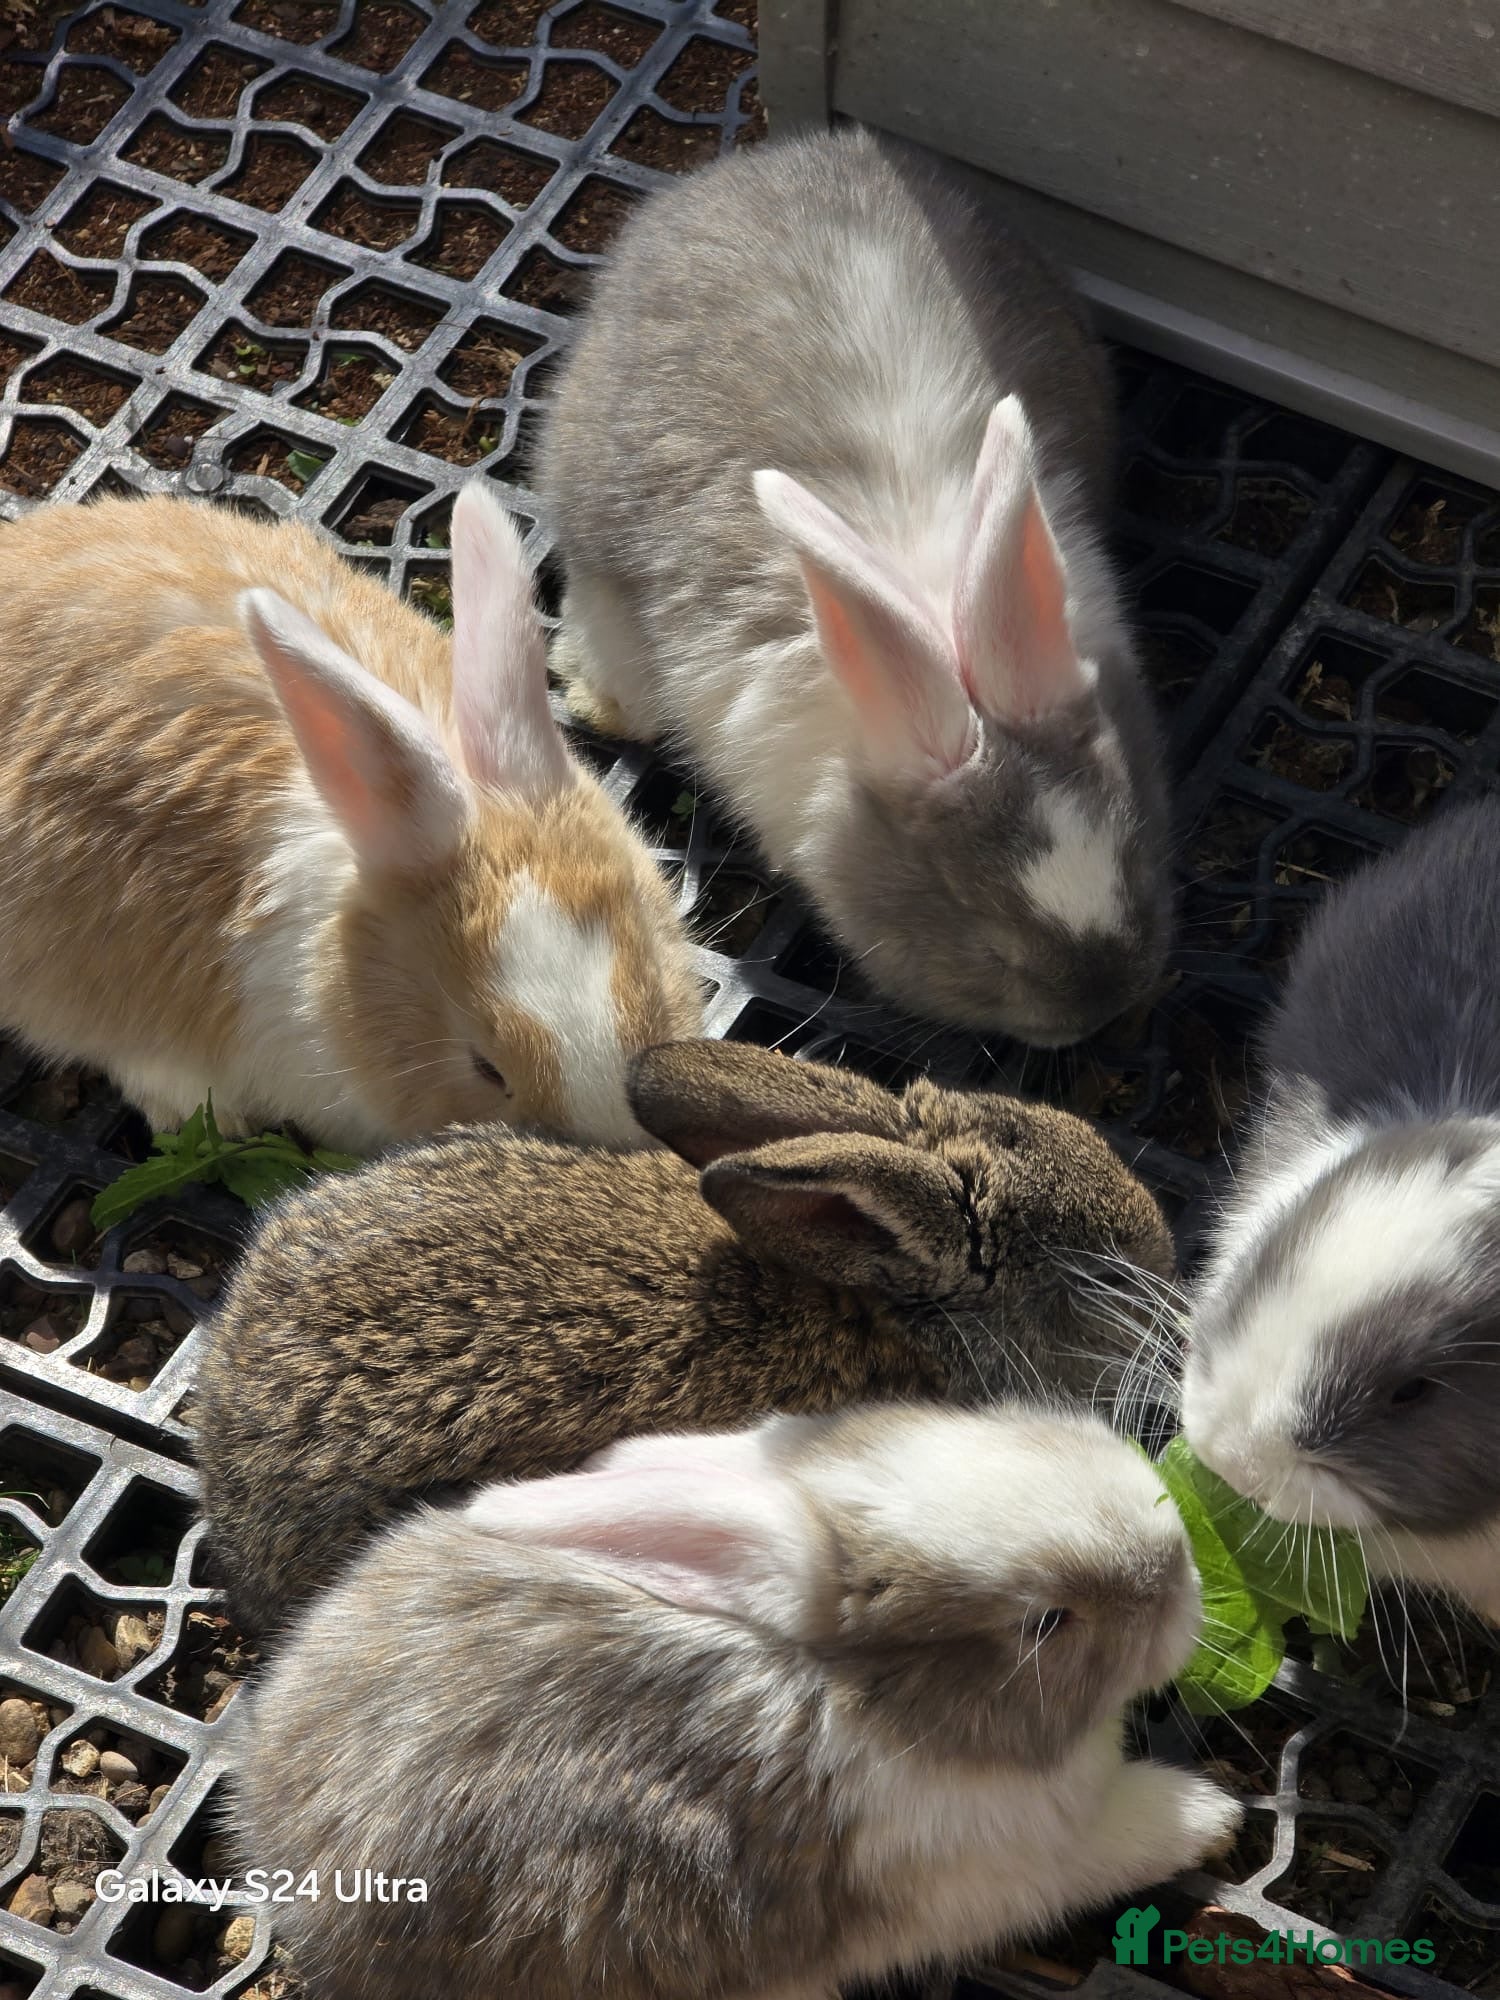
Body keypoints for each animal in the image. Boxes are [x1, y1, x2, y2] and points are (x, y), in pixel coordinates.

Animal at [222, 1400, 1240, 2000]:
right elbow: (1119, 1837)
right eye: (1046, 1623)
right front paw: (1213, 1819)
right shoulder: (1006, 1862)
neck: (877, 1698)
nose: (1180, 1569)